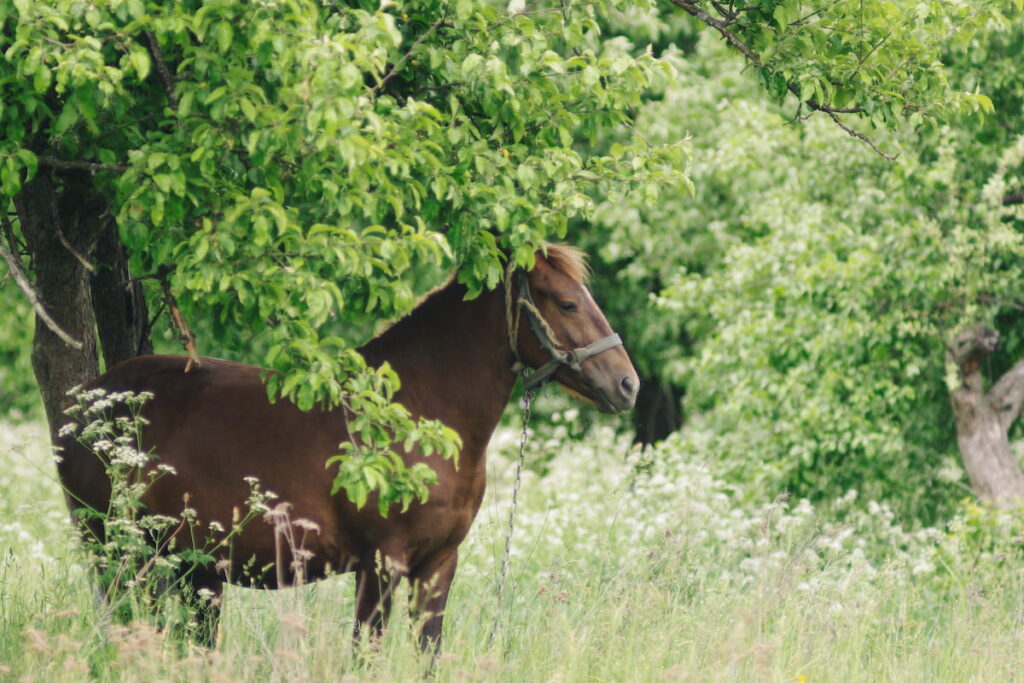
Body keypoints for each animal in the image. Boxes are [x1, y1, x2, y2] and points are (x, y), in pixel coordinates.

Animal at [56, 242, 634, 651]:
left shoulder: (438, 564)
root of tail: (84, 403)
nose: (628, 385)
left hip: (193, 568)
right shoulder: (381, 565)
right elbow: (365, 655)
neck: (415, 409)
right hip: (120, 555)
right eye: (567, 302)